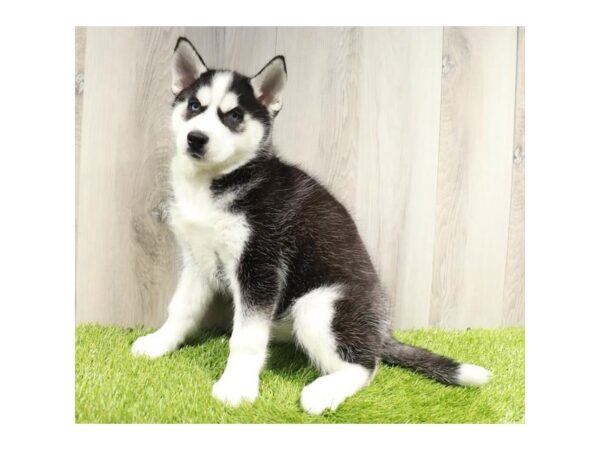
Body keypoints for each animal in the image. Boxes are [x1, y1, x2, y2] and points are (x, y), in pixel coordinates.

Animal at [132, 37, 492, 414]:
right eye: (194, 106)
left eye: (234, 116)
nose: (196, 138)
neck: (218, 181)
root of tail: (381, 330)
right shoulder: (197, 260)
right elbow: (181, 309)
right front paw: (160, 342)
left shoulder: (261, 265)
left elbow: (246, 338)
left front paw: (236, 386)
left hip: (318, 307)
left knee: (367, 366)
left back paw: (324, 392)